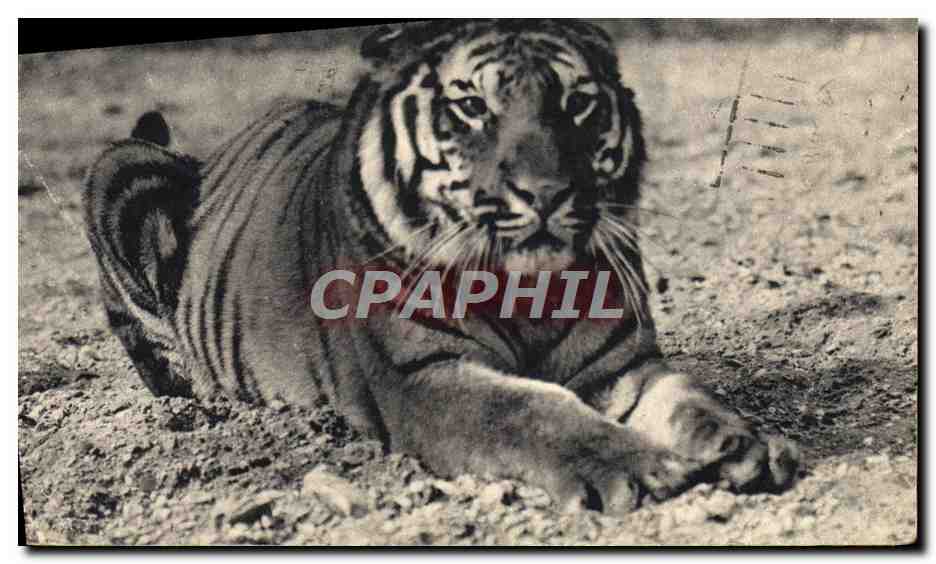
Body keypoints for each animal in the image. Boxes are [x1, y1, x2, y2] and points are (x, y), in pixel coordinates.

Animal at [83, 19, 799, 514]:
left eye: (577, 104)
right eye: (473, 108)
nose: (546, 193)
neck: (526, 289)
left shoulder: (619, 365)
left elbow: (690, 399)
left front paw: (748, 445)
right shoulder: (422, 378)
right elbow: (531, 412)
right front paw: (640, 471)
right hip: (121, 170)